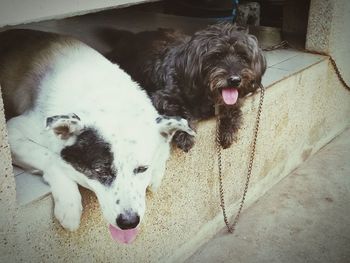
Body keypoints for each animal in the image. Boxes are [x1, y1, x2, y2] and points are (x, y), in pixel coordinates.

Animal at [0, 29, 194, 244]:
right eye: (100, 170)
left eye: (143, 169)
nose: (129, 222)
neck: (106, 96)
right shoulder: (13, 133)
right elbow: (50, 157)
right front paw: (69, 203)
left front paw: (156, 174)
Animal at [105, 23, 266, 153]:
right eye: (216, 56)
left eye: (243, 57)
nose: (235, 80)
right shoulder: (162, 97)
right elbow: (179, 111)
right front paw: (186, 135)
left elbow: (233, 108)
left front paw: (228, 130)